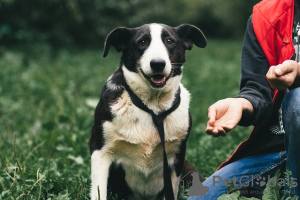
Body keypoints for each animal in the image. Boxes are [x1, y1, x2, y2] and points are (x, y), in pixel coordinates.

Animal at [89, 23, 206, 200]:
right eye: (142, 42)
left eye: (169, 41)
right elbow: (99, 191)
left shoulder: (177, 158)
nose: (157, 63)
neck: (152, 107)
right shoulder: (100, 151)